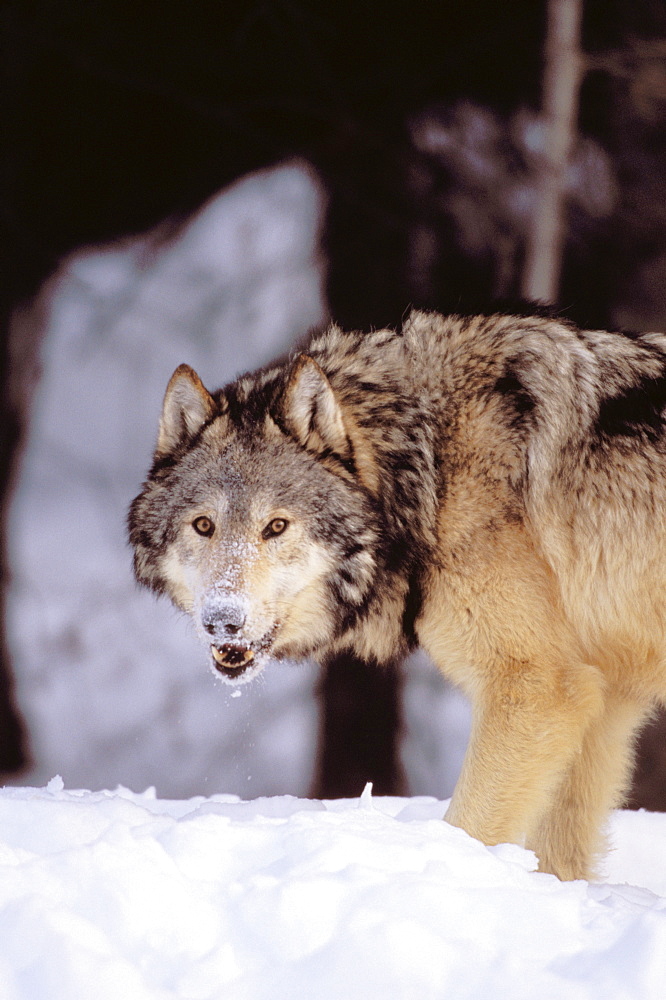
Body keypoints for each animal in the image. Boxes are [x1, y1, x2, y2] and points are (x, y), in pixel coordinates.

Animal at [126, 308, 666, 880]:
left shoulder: (535, 687)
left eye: (276, 526)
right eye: (203, 525)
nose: (223, 620)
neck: (429, 466)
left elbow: (466, 828)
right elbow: (559, 856)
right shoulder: (604, 699)